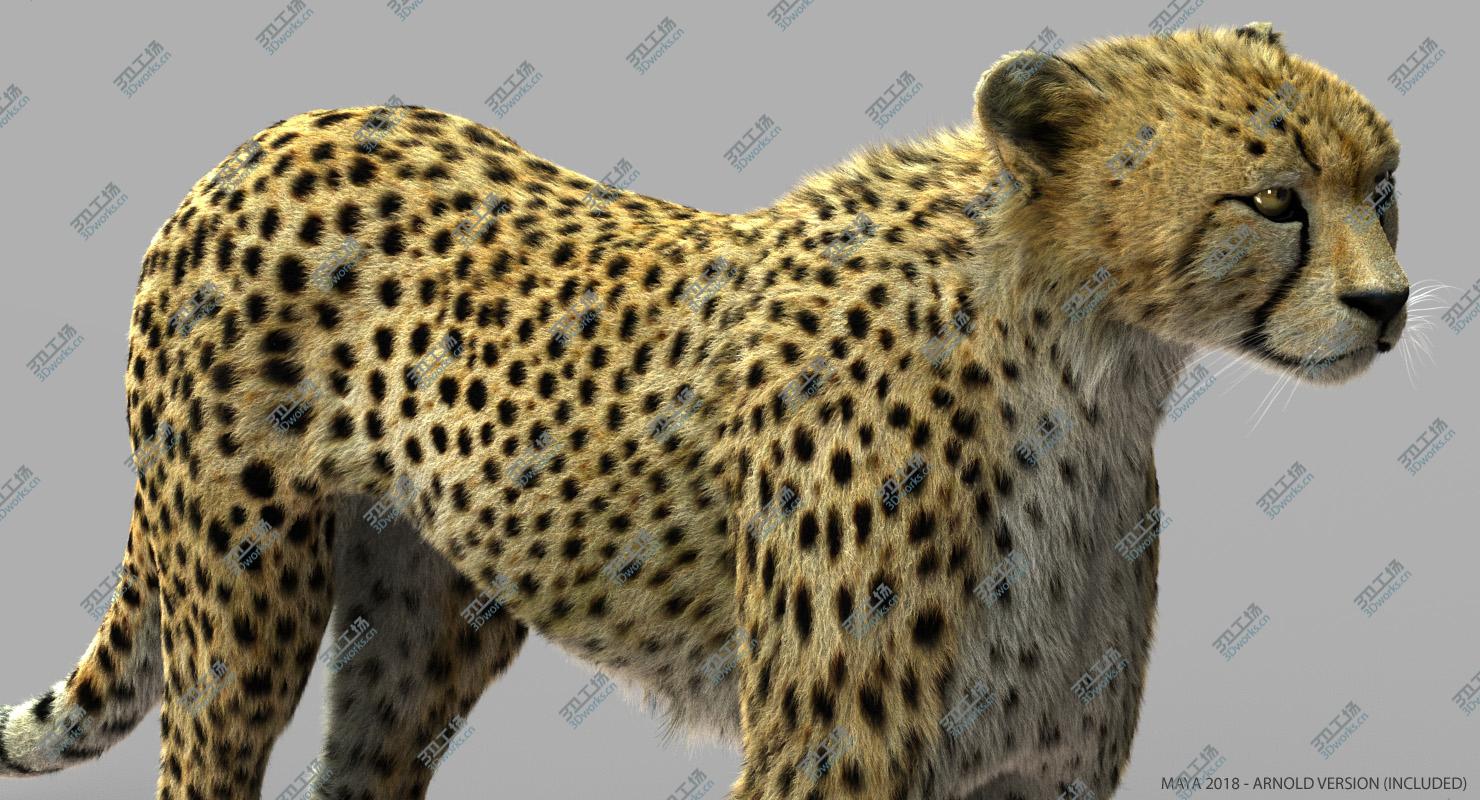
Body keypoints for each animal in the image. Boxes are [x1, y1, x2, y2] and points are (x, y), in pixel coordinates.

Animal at [0, 21, 1408, 800]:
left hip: (428, 619)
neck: (1091, 359)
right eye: (1272, 200)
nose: (1389, 302)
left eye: (1383, 184)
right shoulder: (835, 758)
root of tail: (275, 130)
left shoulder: (1041, 768)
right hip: (237, 602)